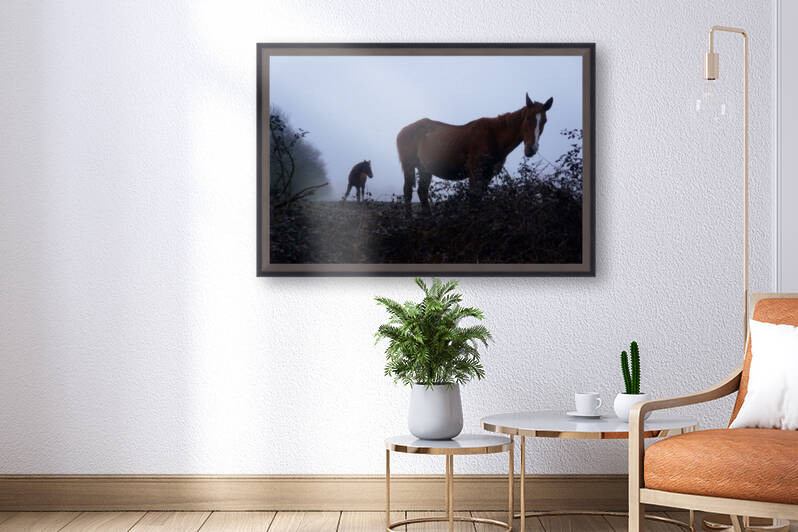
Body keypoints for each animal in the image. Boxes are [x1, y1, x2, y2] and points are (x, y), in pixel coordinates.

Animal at [396, 93, 553, 213]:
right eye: (528, 118)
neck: (493, 136)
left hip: (425, 169)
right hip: (409, 166)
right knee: (408, 192)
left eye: (545, 121)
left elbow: (479, 199)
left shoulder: (488, 174)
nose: (532, 149)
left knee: (422, 192)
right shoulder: (475, 172)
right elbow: (473, 199)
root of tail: (402, 131)